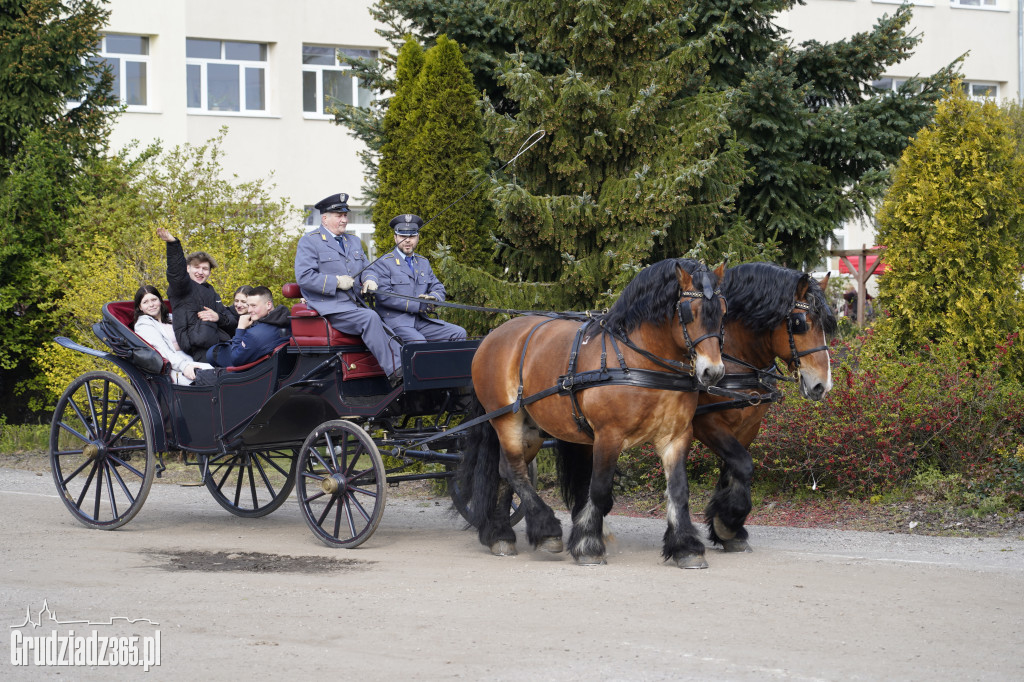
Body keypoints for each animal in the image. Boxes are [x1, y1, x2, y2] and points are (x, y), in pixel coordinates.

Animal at [456, 258, 729, 565]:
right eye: (689, 312)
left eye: (723, 310)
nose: (713, 372)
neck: (636, 361)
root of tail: (491, 338)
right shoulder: (608, 436)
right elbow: (598, 490)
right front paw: (588, 544)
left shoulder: (676, 436)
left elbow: (679, 491)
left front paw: (686, 547)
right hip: (506, 419)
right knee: (512, 469)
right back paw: (545, 530)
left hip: (532, 428)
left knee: (507, 472)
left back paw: (501, 535)